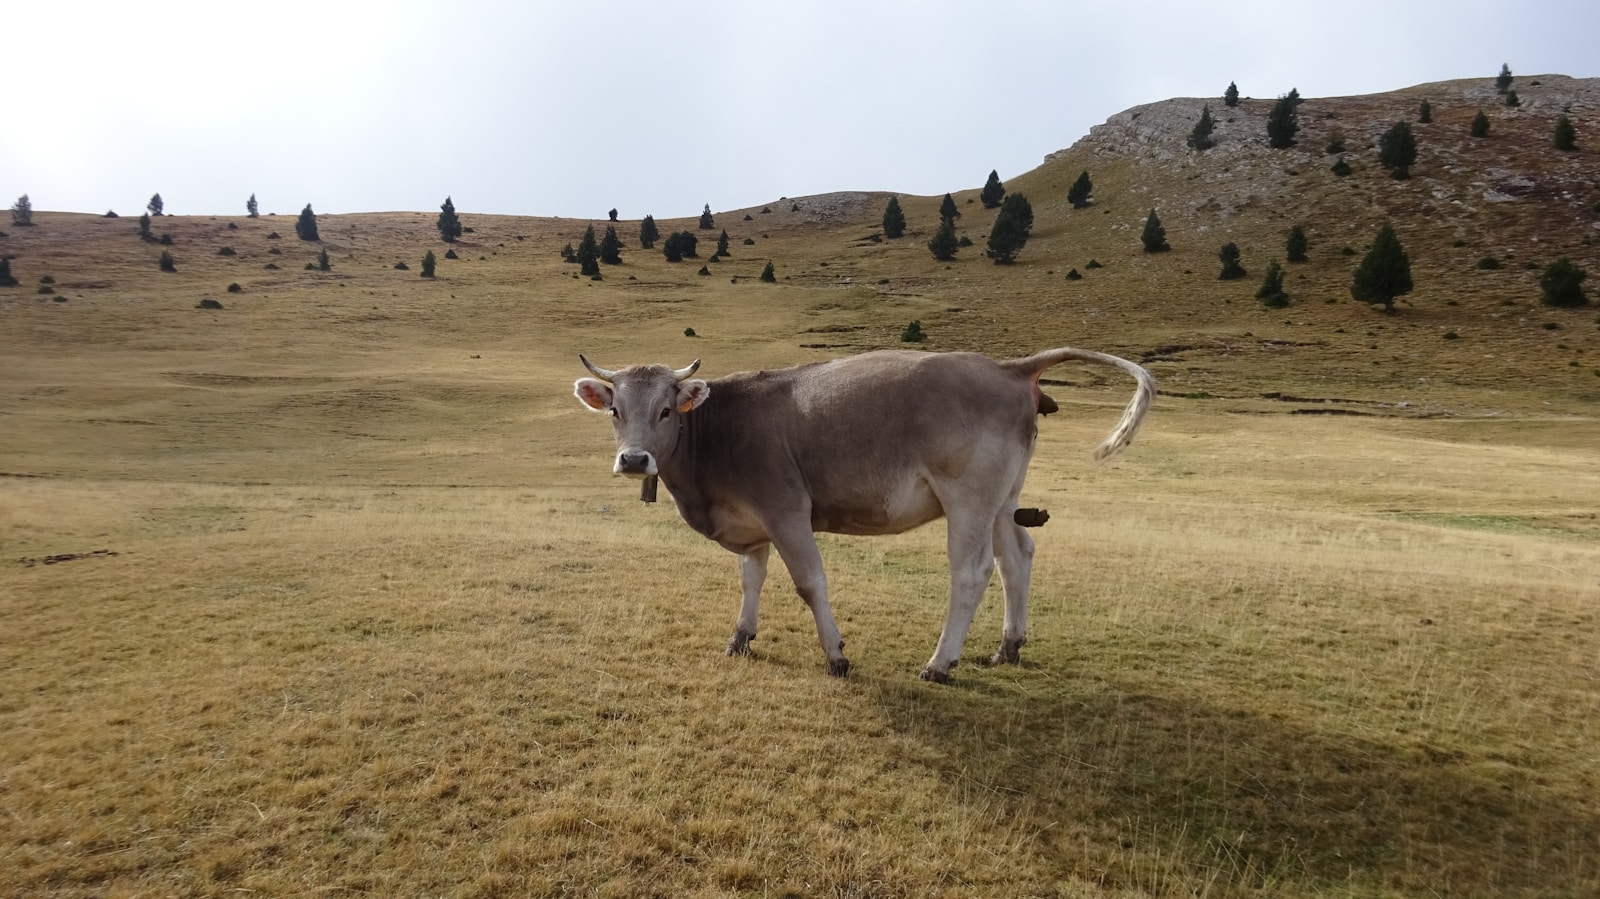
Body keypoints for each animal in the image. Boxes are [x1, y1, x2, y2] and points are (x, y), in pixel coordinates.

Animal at [573, 347, 1154, 682]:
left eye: (666, 410)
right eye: (615, 410)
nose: (634, 459)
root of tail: (1006, 367)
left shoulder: (786, 508)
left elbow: (809, 582)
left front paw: (836, 655)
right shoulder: (751, 522)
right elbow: (750, 578)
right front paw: (740, 637)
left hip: (968, 496)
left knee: (972, 573)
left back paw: (940, 664)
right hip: (1002, 498)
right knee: (1018, 557)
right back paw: (1007, 647)